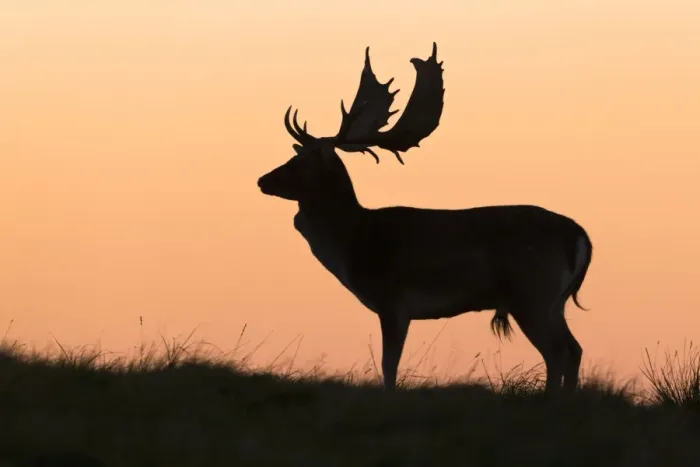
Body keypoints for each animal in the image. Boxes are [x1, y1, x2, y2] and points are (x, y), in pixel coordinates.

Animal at [257, 43, 593, 393]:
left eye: (302, 162)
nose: (262, 180)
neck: (355, 243)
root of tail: (580, 236)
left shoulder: (393, 301)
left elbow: (389, 364)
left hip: (532, 292)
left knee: (557, 351)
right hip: (554, 301)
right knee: (574, 348)